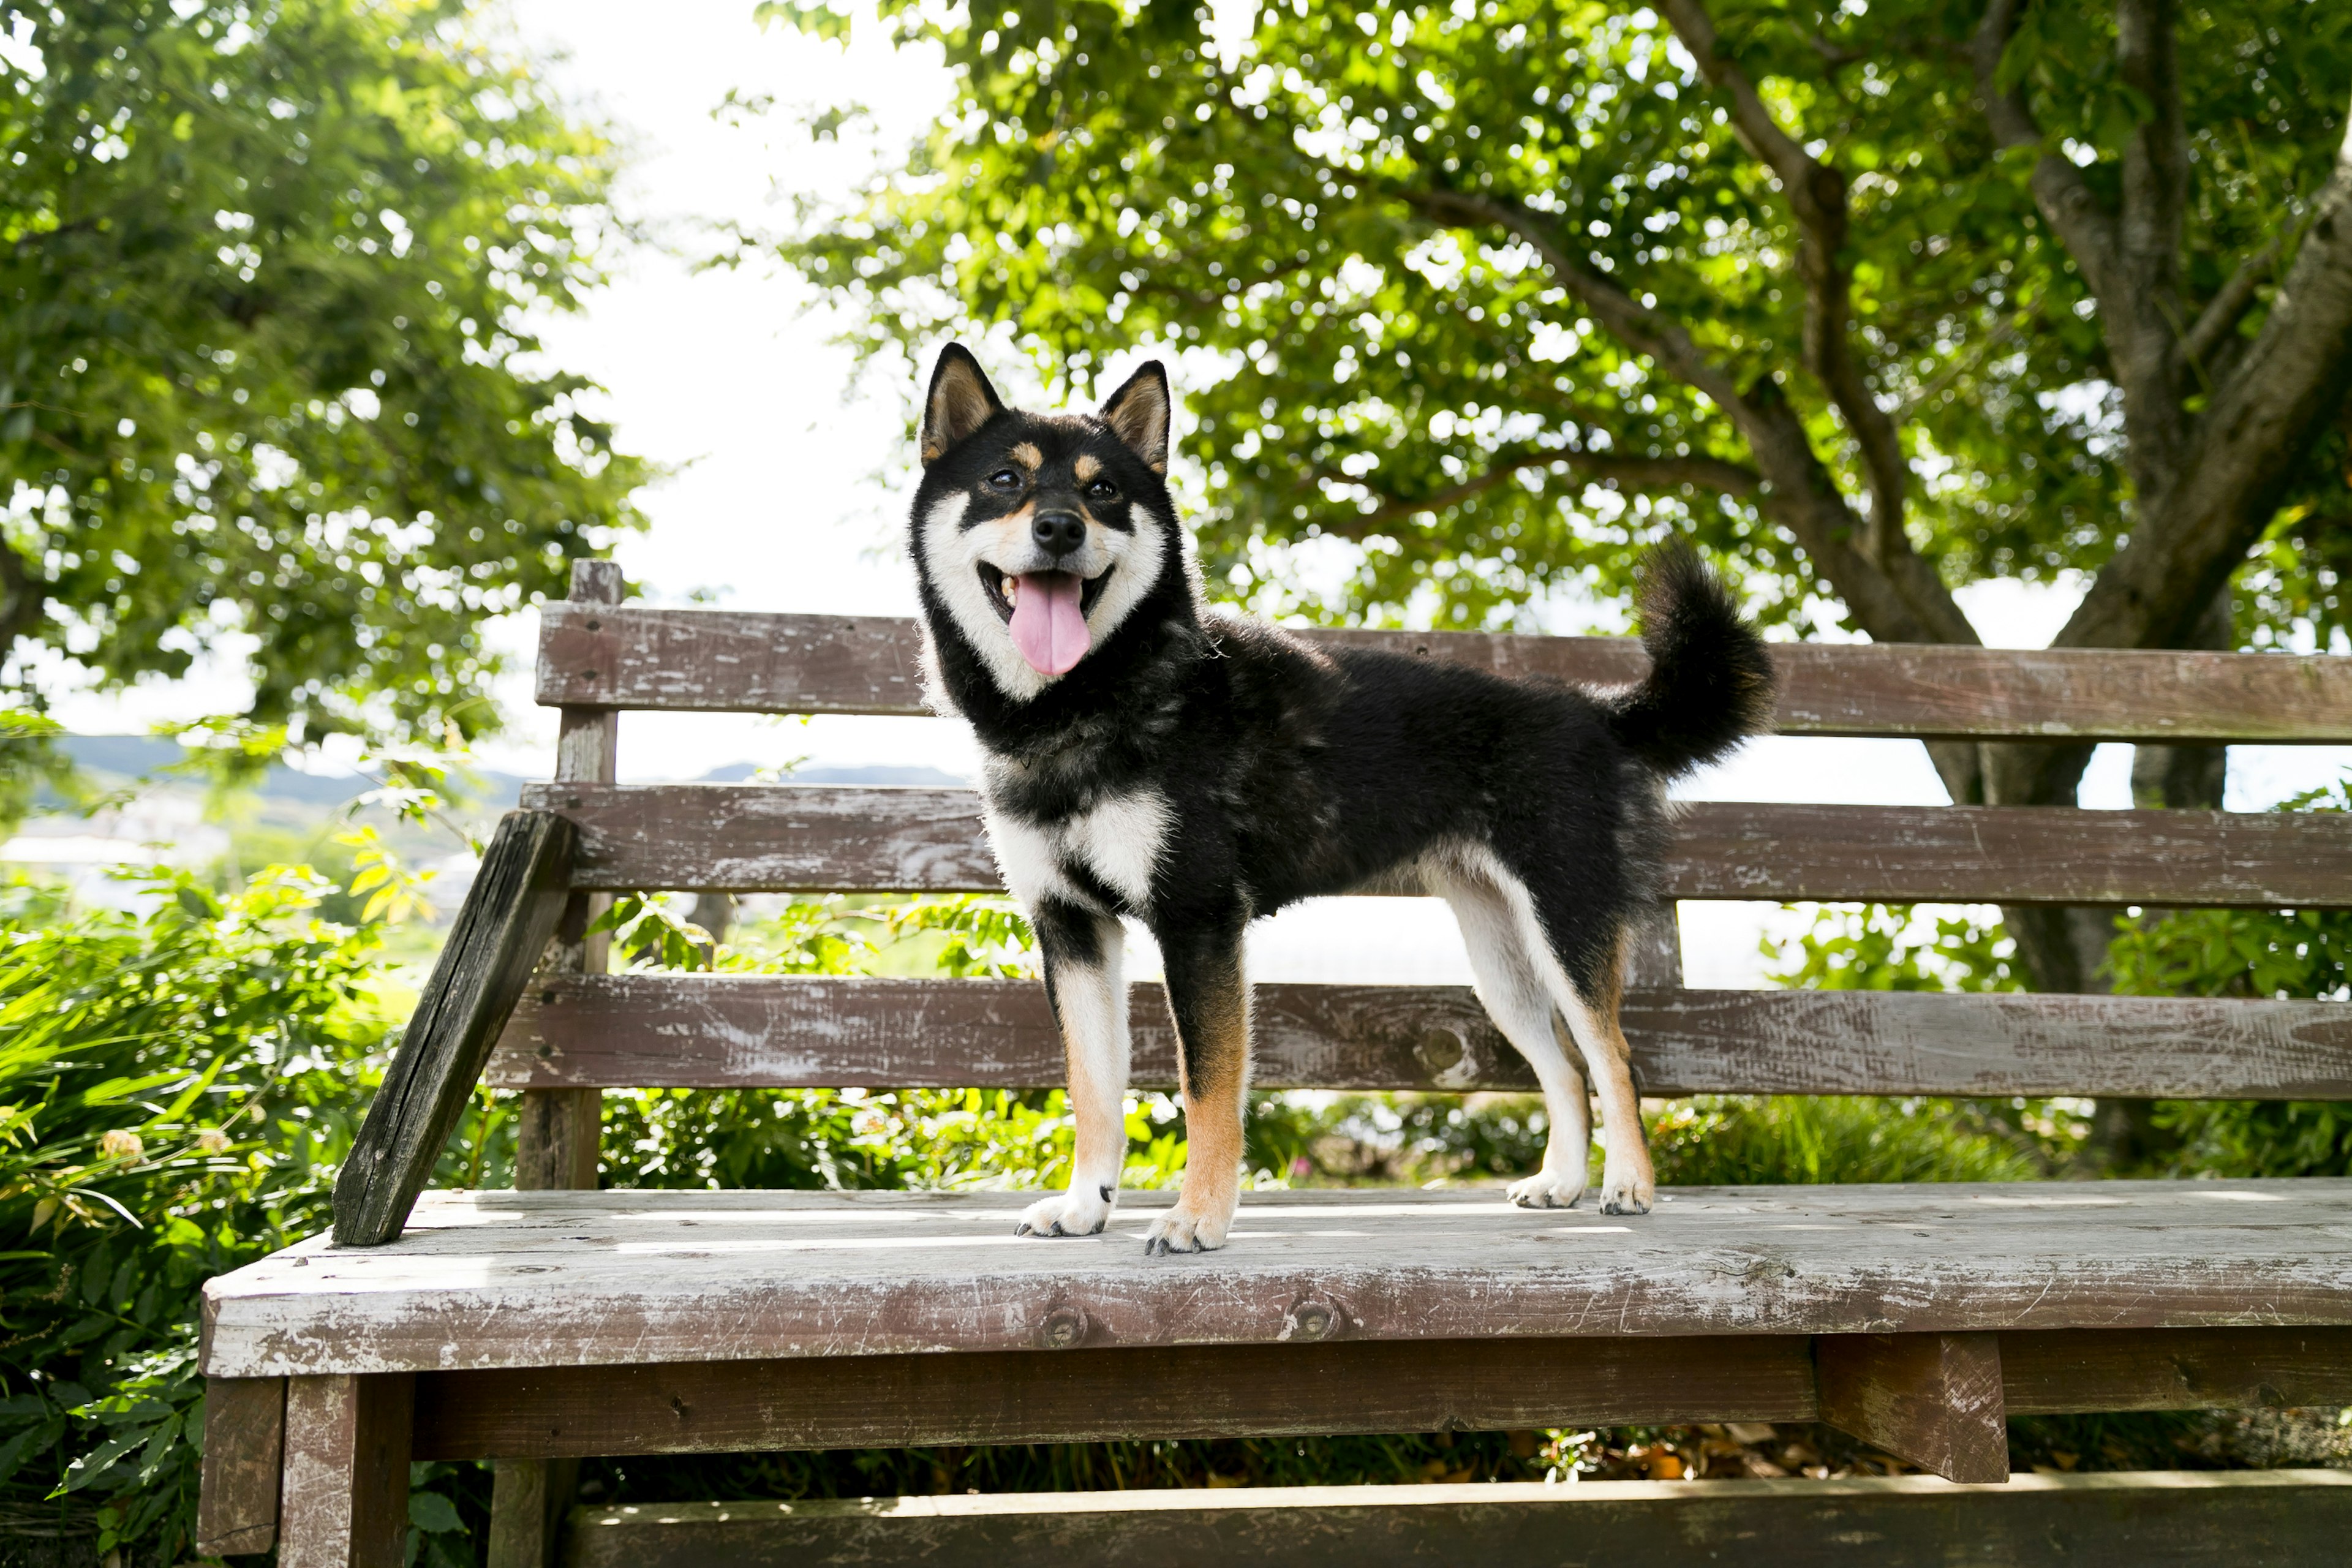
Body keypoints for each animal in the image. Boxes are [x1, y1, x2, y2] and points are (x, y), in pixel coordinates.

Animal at [908, 350, 1768, 1260]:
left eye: (1102, 490)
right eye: (1004, 480)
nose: (1060, 530)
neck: (1086, 700)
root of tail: (1594, 712)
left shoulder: (1198, 918)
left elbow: (1207, 1090)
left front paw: (1197, 1216)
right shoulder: (1071, 928)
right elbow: (1093, 1086)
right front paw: (1084, 1206)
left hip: (1566, 925)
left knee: (1615, 1057)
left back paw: (1628, 1185)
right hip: (1500, 960)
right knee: (1564, 1065)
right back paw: (1564, 1181)